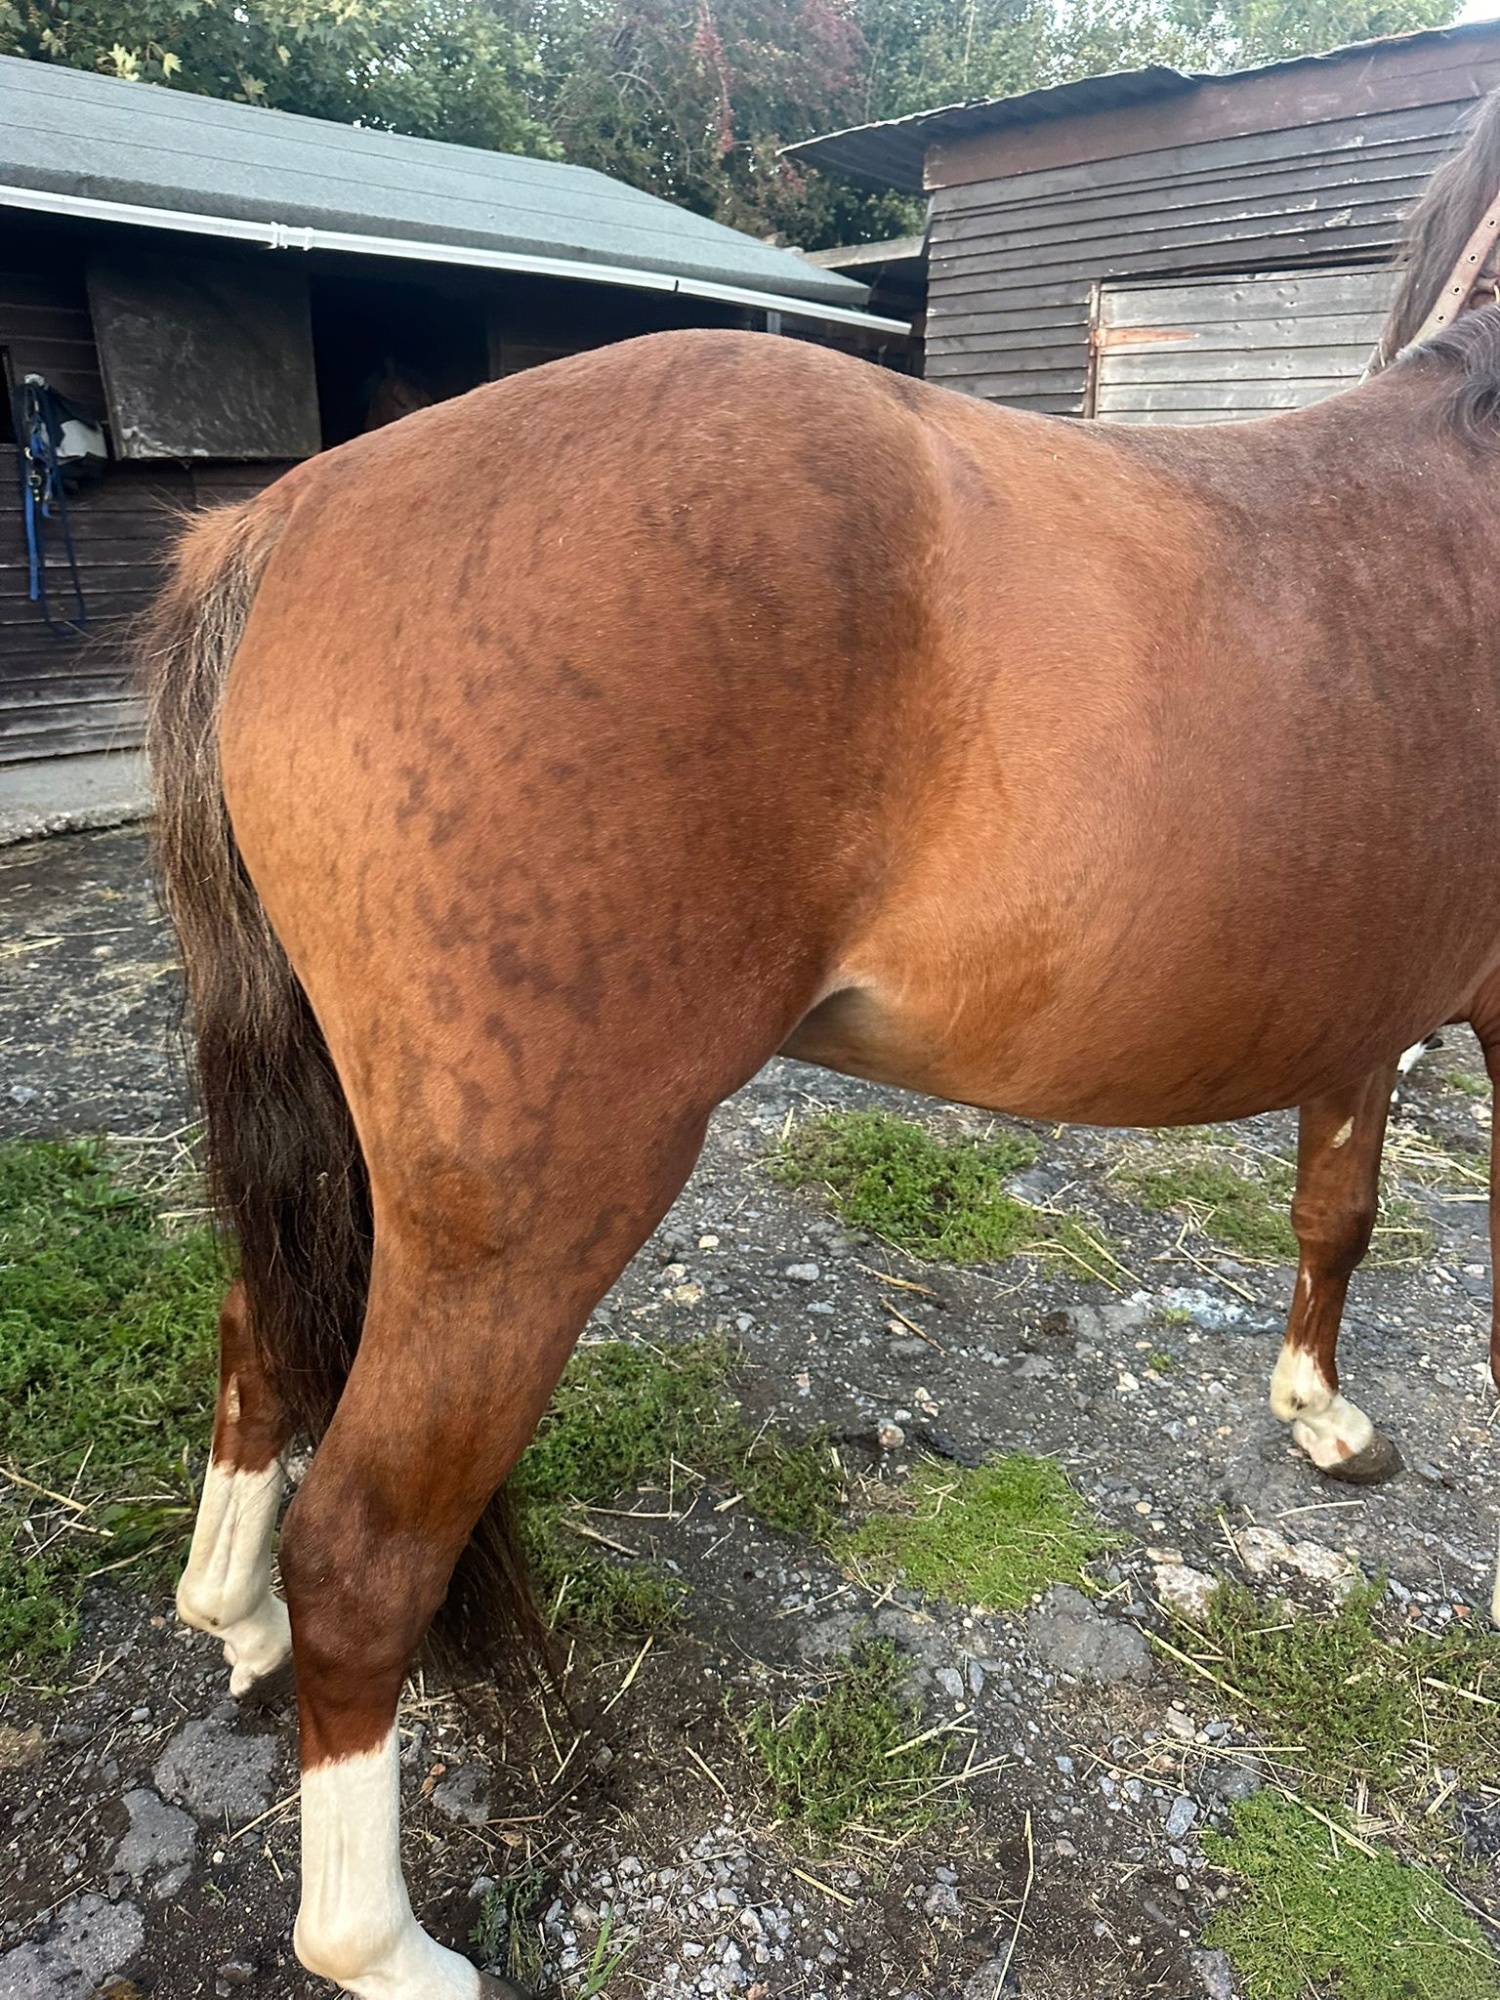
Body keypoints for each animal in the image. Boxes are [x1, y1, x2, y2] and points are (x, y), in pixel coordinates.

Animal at [145, 82, 1500, 2000]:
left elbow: (1339, 1209)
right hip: (525, 1213)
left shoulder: (1364, 1004)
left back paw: (235, 1613)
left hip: (343, 1133)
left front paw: (1319, 1416)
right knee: (369, 1551)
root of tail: (299, 509)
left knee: (265, 1340)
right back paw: (383, 1939)